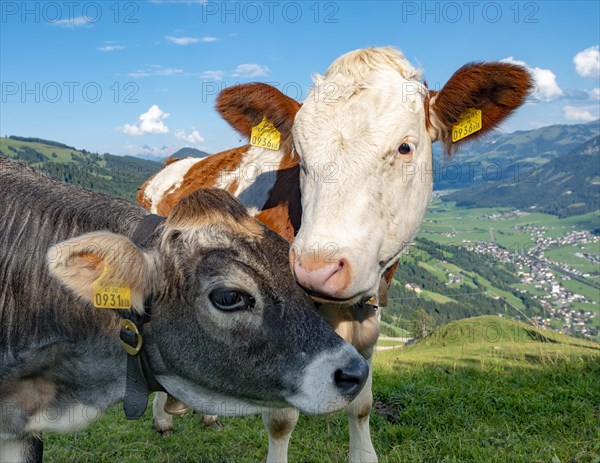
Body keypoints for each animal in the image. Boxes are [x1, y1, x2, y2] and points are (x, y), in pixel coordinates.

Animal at [138, 47, 532, 463]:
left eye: (404, 147)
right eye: (300, 155)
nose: (316, 268)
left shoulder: (369, 318)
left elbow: (362, 403)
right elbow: (281, 419)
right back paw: (163, 418)